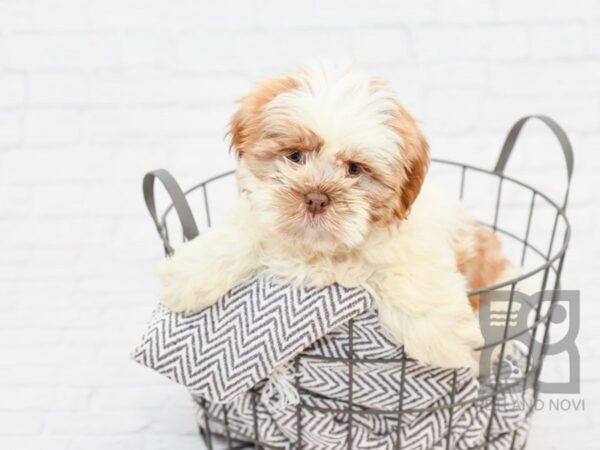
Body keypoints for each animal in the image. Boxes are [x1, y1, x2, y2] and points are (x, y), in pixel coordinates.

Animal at [157, 65, 508, 370]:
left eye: (354, 169)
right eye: (295, 155)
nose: (316, 197)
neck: (321, 250)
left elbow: (414, 276)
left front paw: (446, 339)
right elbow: (238, 236)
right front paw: (188, 274)